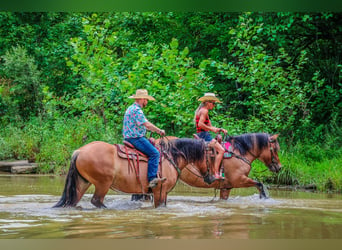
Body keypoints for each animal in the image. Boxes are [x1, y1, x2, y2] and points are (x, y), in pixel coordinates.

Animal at [52, 139, 211, 209]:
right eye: (212, 155)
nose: (212, 178)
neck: (170, 157)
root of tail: (79, 151)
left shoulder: (163, 192)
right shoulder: (159, 190)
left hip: (83, 182)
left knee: (73, 201)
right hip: (103, 184)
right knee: (96, 201)